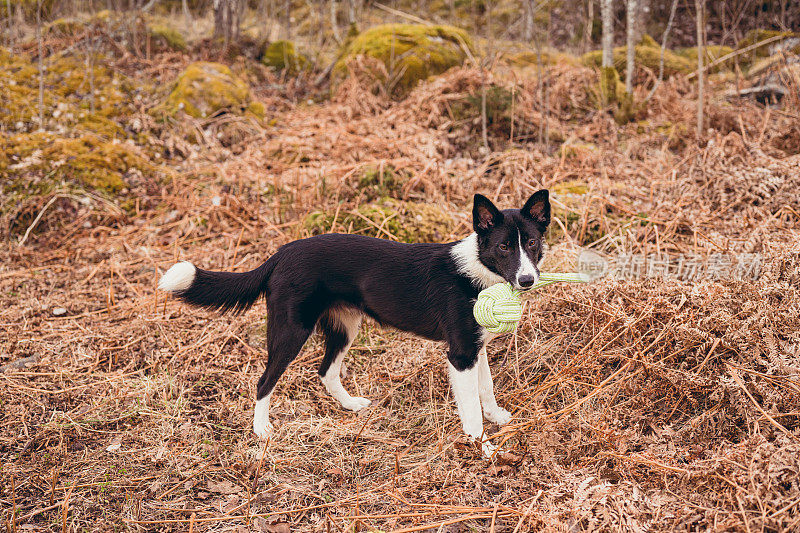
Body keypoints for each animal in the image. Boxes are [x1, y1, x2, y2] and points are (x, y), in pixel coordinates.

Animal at [159, 189, 552, 456]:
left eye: (532, 243)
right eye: (504, 247)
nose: (527, 280)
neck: (479, 270)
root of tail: (280, 254)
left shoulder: (476, 347)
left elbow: (486, 389)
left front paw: (497, 417)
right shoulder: (460, 355)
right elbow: (471, 409)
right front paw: (483, 447)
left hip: (345, 326)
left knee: (325, 371)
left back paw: (350, 406)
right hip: (291, 331)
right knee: (263, 381)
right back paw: (262, 430)